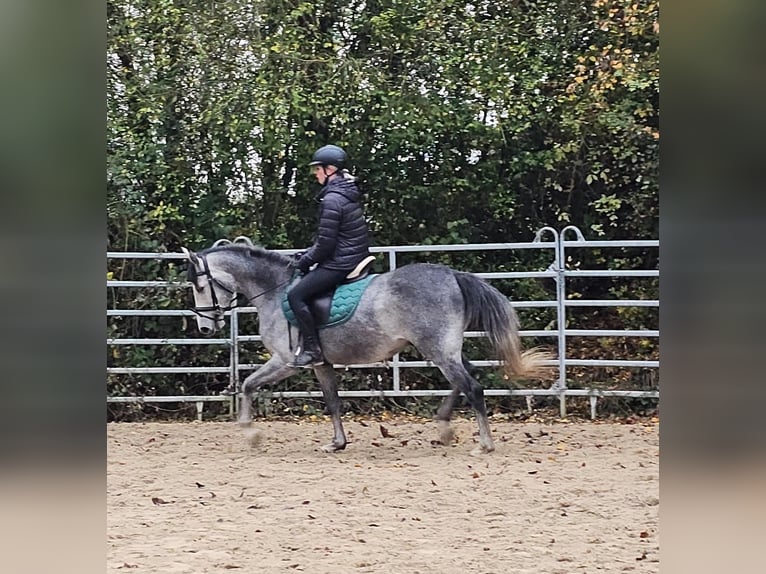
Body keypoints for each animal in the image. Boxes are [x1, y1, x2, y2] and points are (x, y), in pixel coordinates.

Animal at [183, 241, 556, 456]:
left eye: (200, 286)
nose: (205, 328)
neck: (275, 291)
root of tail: (452, 274)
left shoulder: (286, 361)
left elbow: (247, 385)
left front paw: (251, 434)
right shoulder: (320, 364)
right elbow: (333, 402)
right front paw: (337, 443)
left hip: (439, 350)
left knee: (473, 387)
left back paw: (484, 444)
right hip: (446, 350)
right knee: (467, 380)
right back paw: (445, 426)